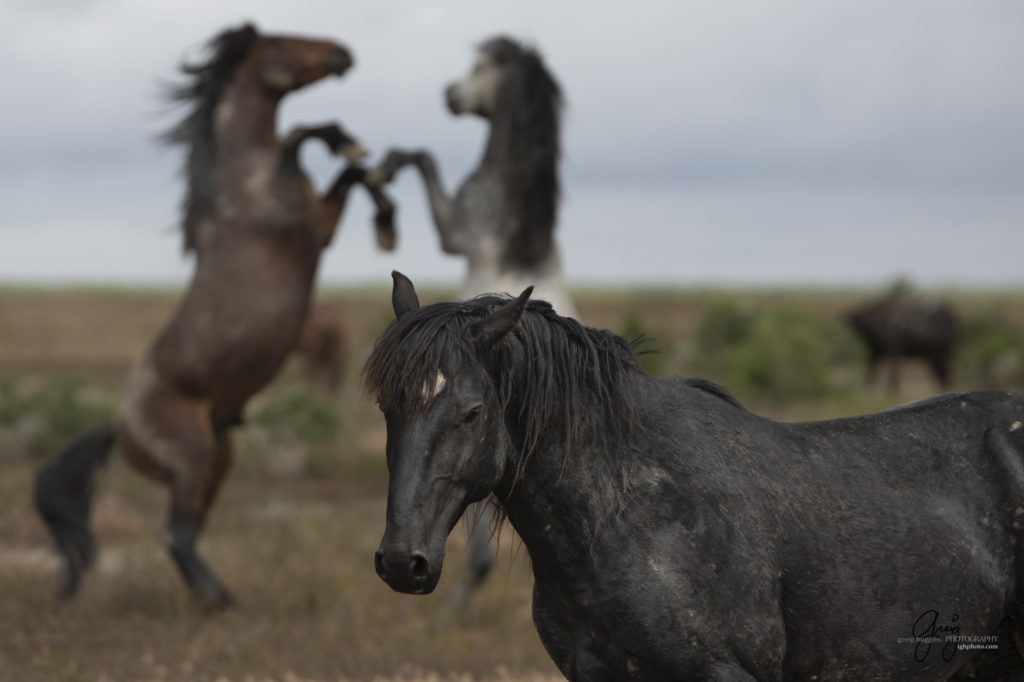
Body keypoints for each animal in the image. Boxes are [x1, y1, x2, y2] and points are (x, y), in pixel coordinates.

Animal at [32, 23, 391, 606]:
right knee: (175, 532)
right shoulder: (307, 224)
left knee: (189, 531)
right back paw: (218, 599)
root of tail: (119, 424)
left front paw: (383, 205)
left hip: (218, 462)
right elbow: (301, 137)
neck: (243, 180)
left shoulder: (322, 223)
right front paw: (349, 148)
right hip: (193, 457)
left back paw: (215, 594)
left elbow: (352, 174)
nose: (343, 52)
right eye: (281, 43)